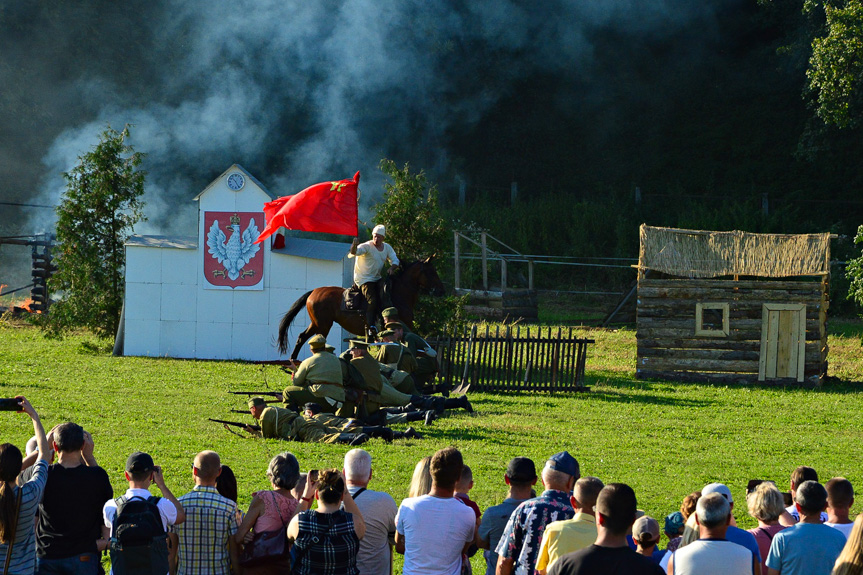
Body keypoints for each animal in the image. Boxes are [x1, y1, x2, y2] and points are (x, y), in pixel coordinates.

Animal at [280, 258, 446, 360]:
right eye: (431, 272)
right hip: (323, 325)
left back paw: (293, 360)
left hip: (316, 323)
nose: (441, 290)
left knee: (302, 336)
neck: (398, 294)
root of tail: (314, 292)